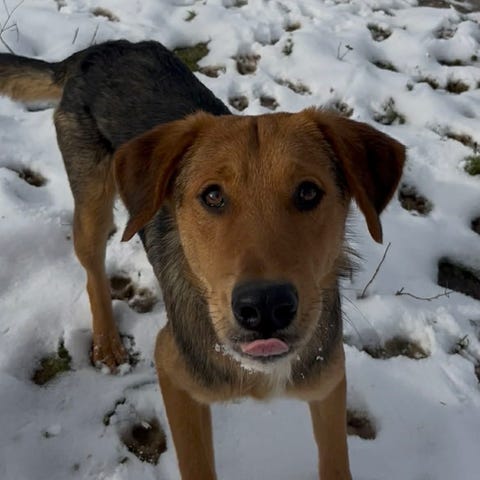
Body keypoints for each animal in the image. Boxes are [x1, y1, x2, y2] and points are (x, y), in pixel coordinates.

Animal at [0, 40, 405, 479]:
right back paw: (108, 344)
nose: (265, 307)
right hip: (92, 201)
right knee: (92, 270)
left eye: (309, 192)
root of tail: (97, 50)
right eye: (212, 195)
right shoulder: (174, 370)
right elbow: (197, 464)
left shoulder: (328, 381)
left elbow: (336, 461)